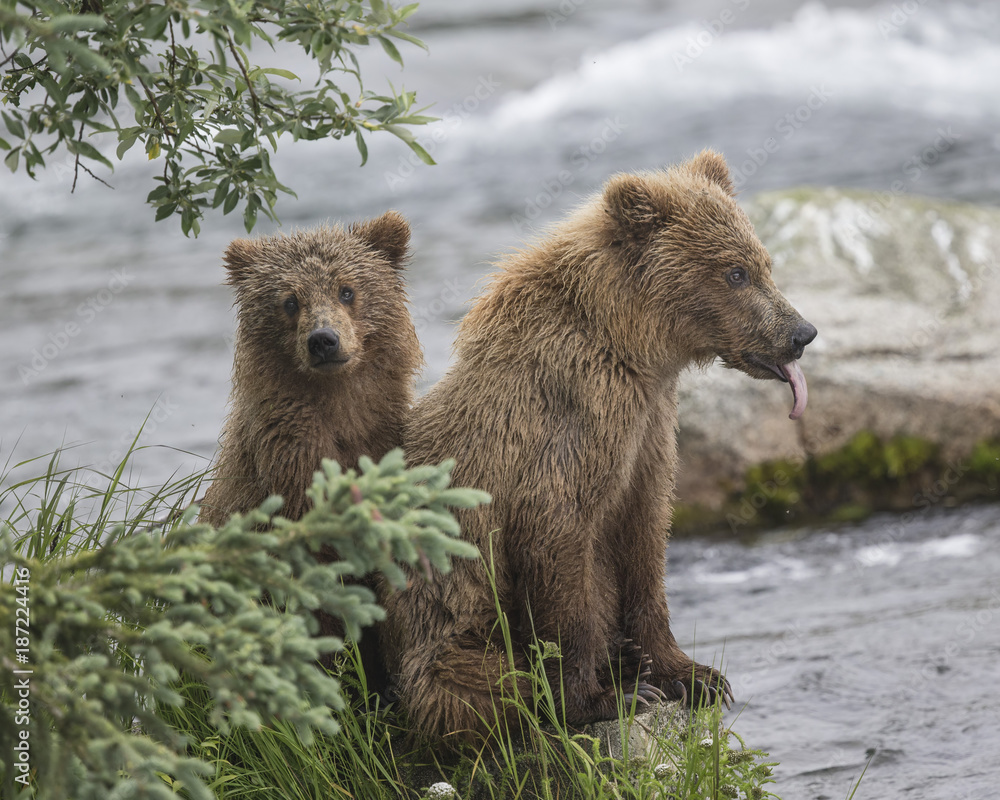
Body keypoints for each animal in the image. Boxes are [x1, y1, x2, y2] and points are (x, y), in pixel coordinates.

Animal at [199, 211, 421, 691]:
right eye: (289, 301)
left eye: (346, 289)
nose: (323, 340)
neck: (339, 413)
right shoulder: (290, 466)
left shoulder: (381, 438)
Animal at [379, 151, 817, 744]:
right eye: (735, 272)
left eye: (763, 262)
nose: (802, 333)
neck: (633, 349)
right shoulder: (572, 423)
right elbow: (558, 541)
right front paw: (608, 697)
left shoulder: (648, 430)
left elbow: (644, 536)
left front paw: (694, 675)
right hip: (448, 633)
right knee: (474, 681)